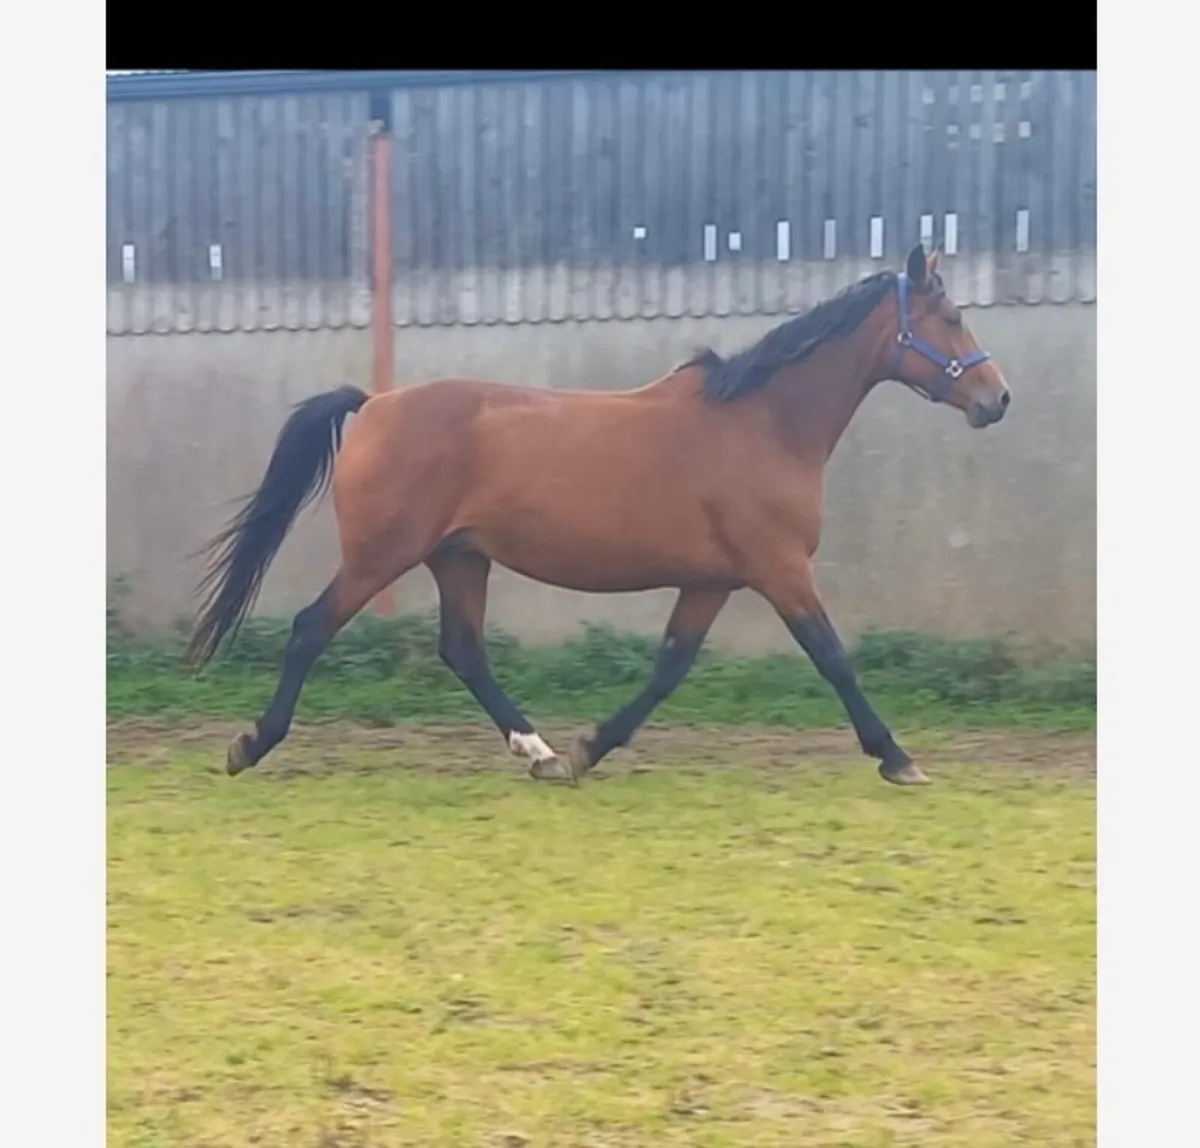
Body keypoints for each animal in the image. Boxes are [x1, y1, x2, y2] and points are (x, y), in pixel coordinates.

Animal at [185, 243, 1010, 788]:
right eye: (951, 314)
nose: (997, 398)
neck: (765, 422)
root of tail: (375, 404)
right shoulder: (779, 569)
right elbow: (833, 657)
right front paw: (897, 757)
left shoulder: (713, 580)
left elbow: (669, 667)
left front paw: (589, 748)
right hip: (380, 556)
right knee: (311, 629)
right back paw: (251, 746)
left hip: (460, 556)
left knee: (463, 649)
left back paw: (542, 753)